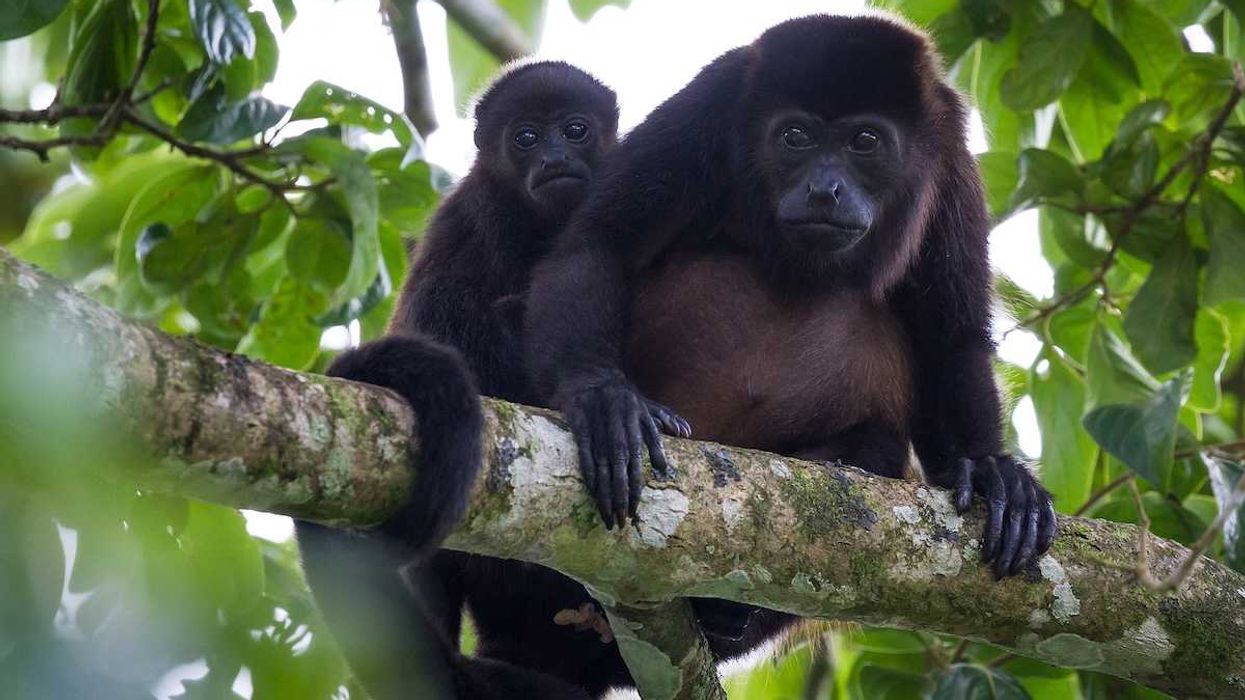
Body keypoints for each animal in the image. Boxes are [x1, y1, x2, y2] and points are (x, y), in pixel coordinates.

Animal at [524, 14, 1060, 661]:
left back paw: (724, 611)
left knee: (879, 438)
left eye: (865, 142)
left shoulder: (950, 155)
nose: (825, 189)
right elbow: (601, 241)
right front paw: (602, 397)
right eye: (796, 137)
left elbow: (948, 334)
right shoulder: (714, 100)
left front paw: (988, 469)